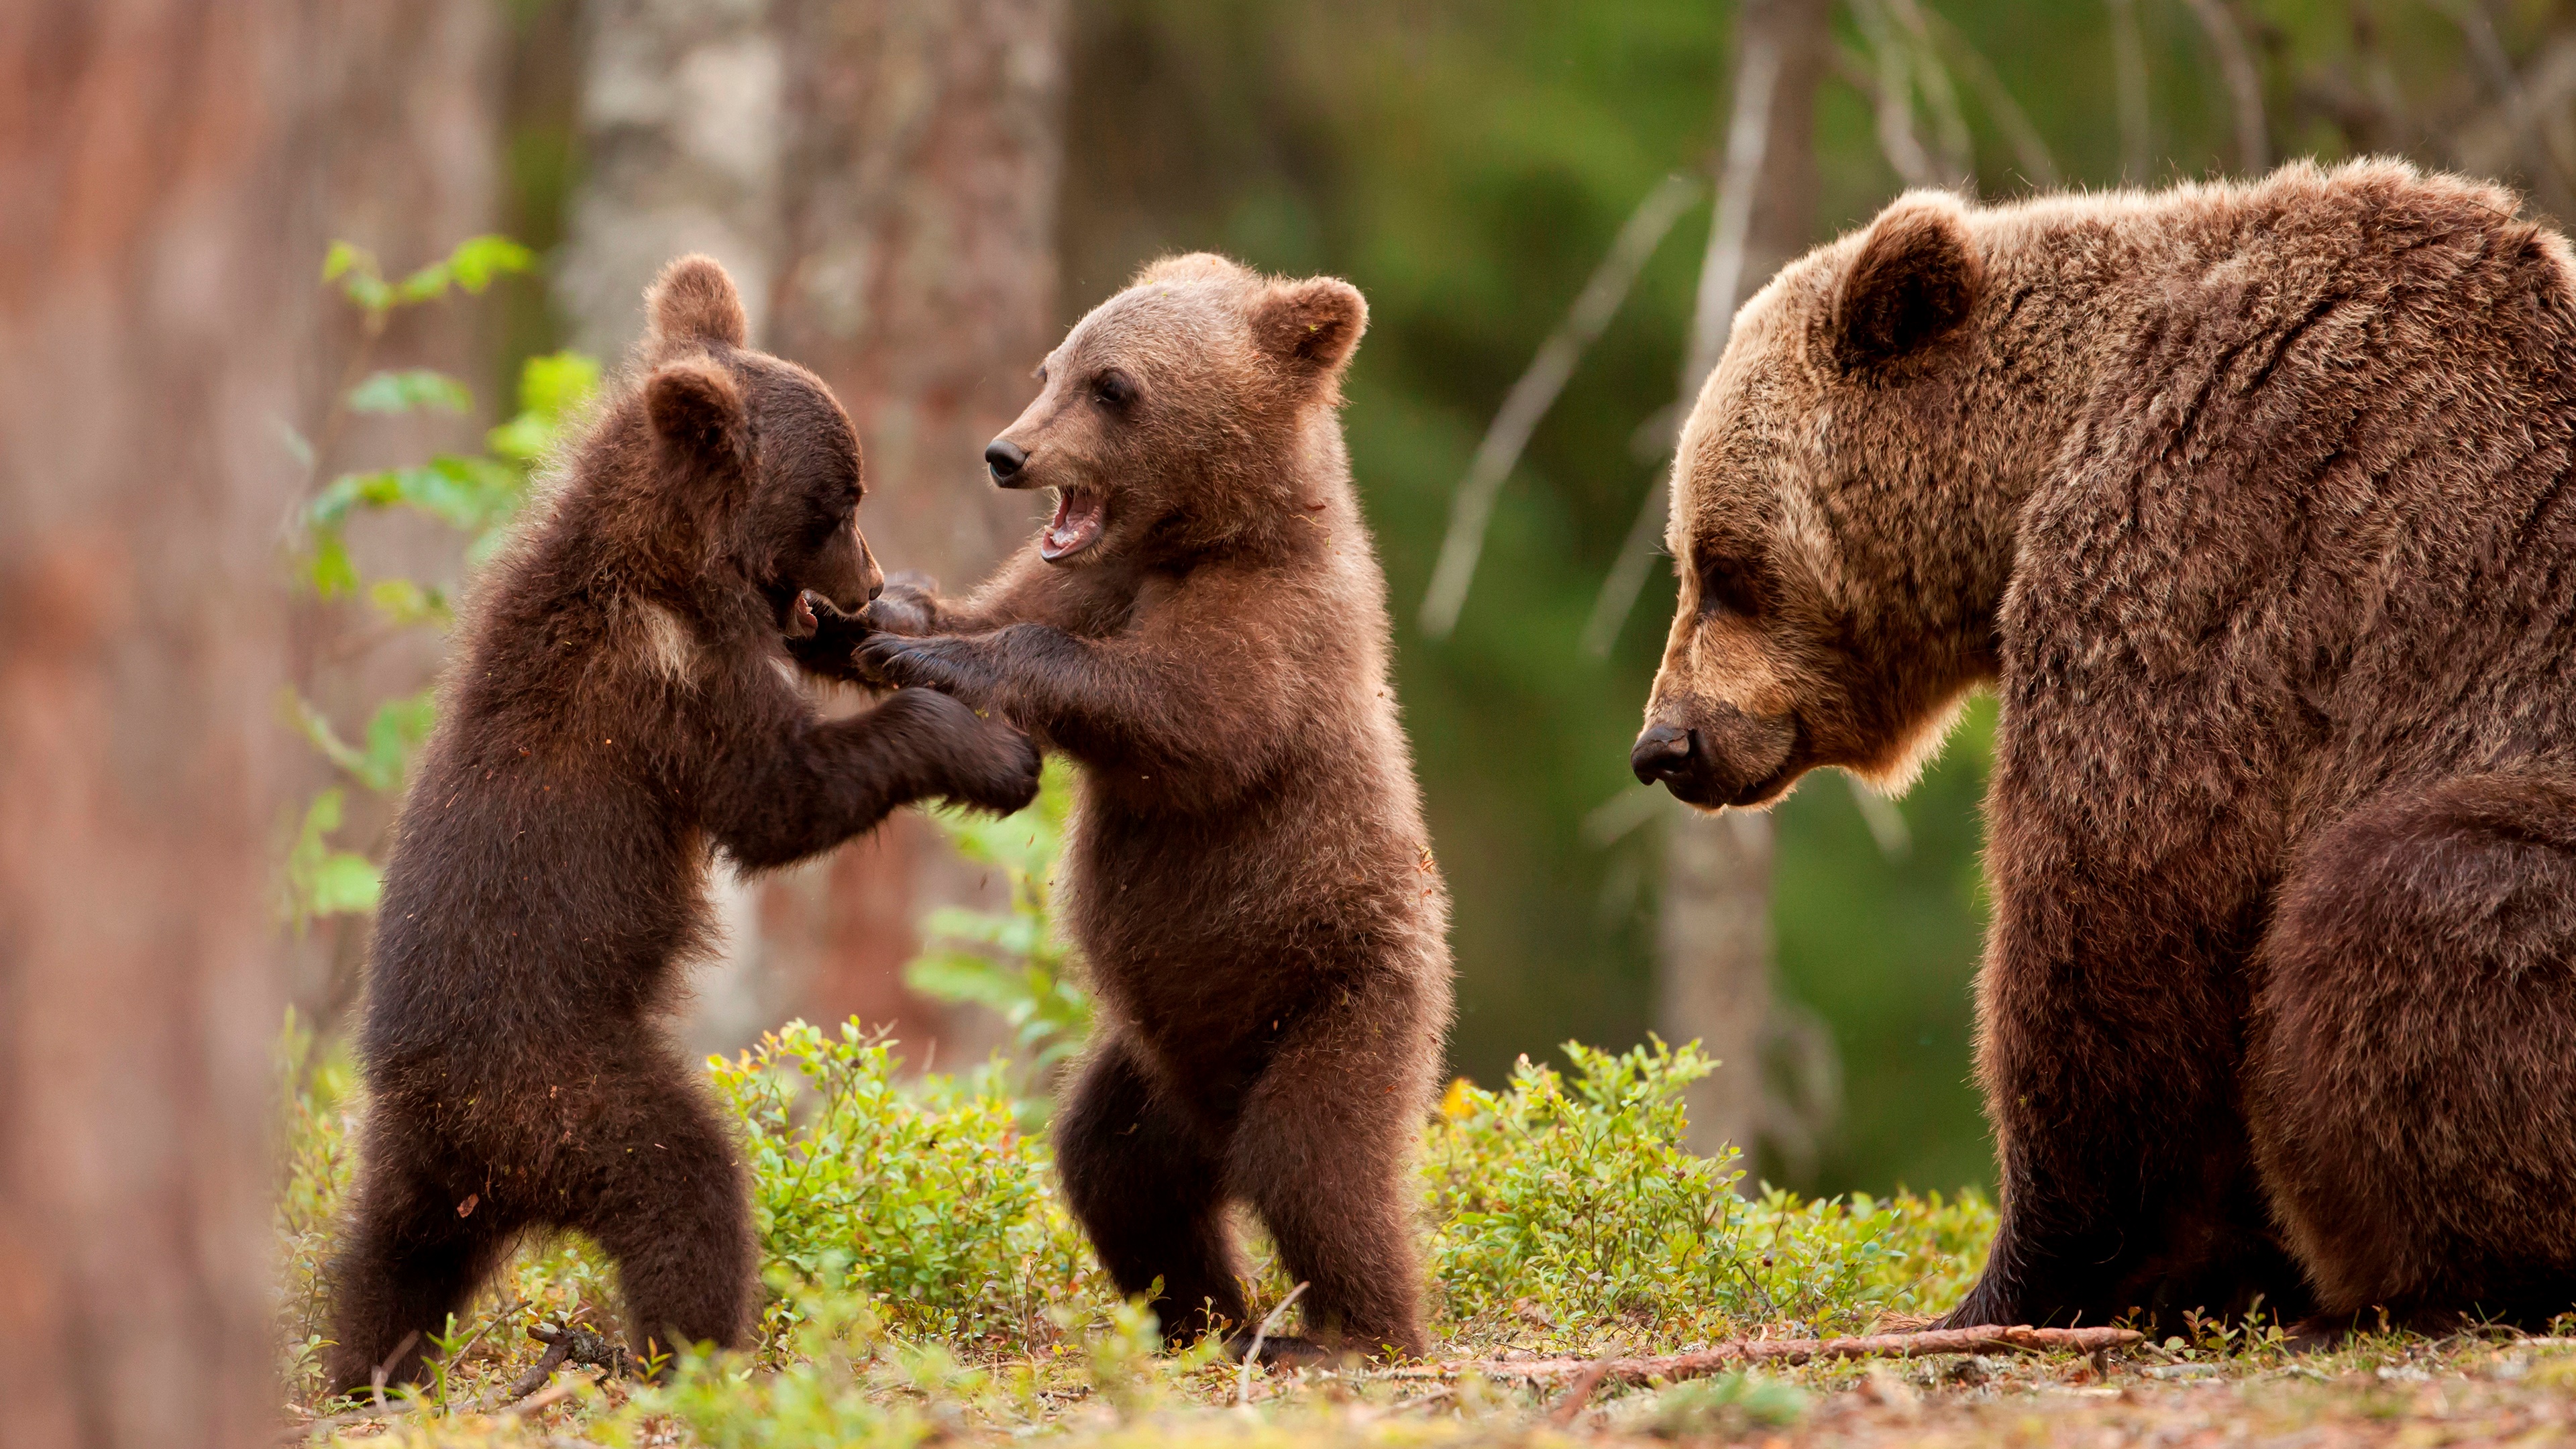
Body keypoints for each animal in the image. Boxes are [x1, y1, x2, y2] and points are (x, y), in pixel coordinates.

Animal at [322, 255, 1042, 1397]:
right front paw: (988, 750)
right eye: (840, 501)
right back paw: (691, 1351)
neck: (672, 565)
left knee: (385, 1265)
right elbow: (779, 797)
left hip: (419, 1169)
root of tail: (457, 1131)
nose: (870, 579)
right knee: (685, 1187)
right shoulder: (665, 686)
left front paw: (903, 630)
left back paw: (365, 1370)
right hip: (566, 1090)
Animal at [837, 253, 1454, 1361]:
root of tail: (1214, 1119)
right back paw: (1204, 1316)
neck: (1204, 538)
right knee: (1114, 1168)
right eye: (1050, 366)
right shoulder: (1094, 577)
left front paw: (942, 655)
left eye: (1114, 386)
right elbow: (1002, 609)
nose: (1005, 453)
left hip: (1341, 995)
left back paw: (1352, 1331)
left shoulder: (1278, 629)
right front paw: (890, 613)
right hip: (1155, 1066)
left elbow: (1191, 719)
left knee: (1317, 1162)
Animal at [1628, 159, 2576, 1334]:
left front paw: (2017, 1282)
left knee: (2399, 894)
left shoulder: (2214, 535)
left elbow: (2118, 909)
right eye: (1689, 557)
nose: (1665, 744)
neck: (2039, 450)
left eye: (1724, 566)